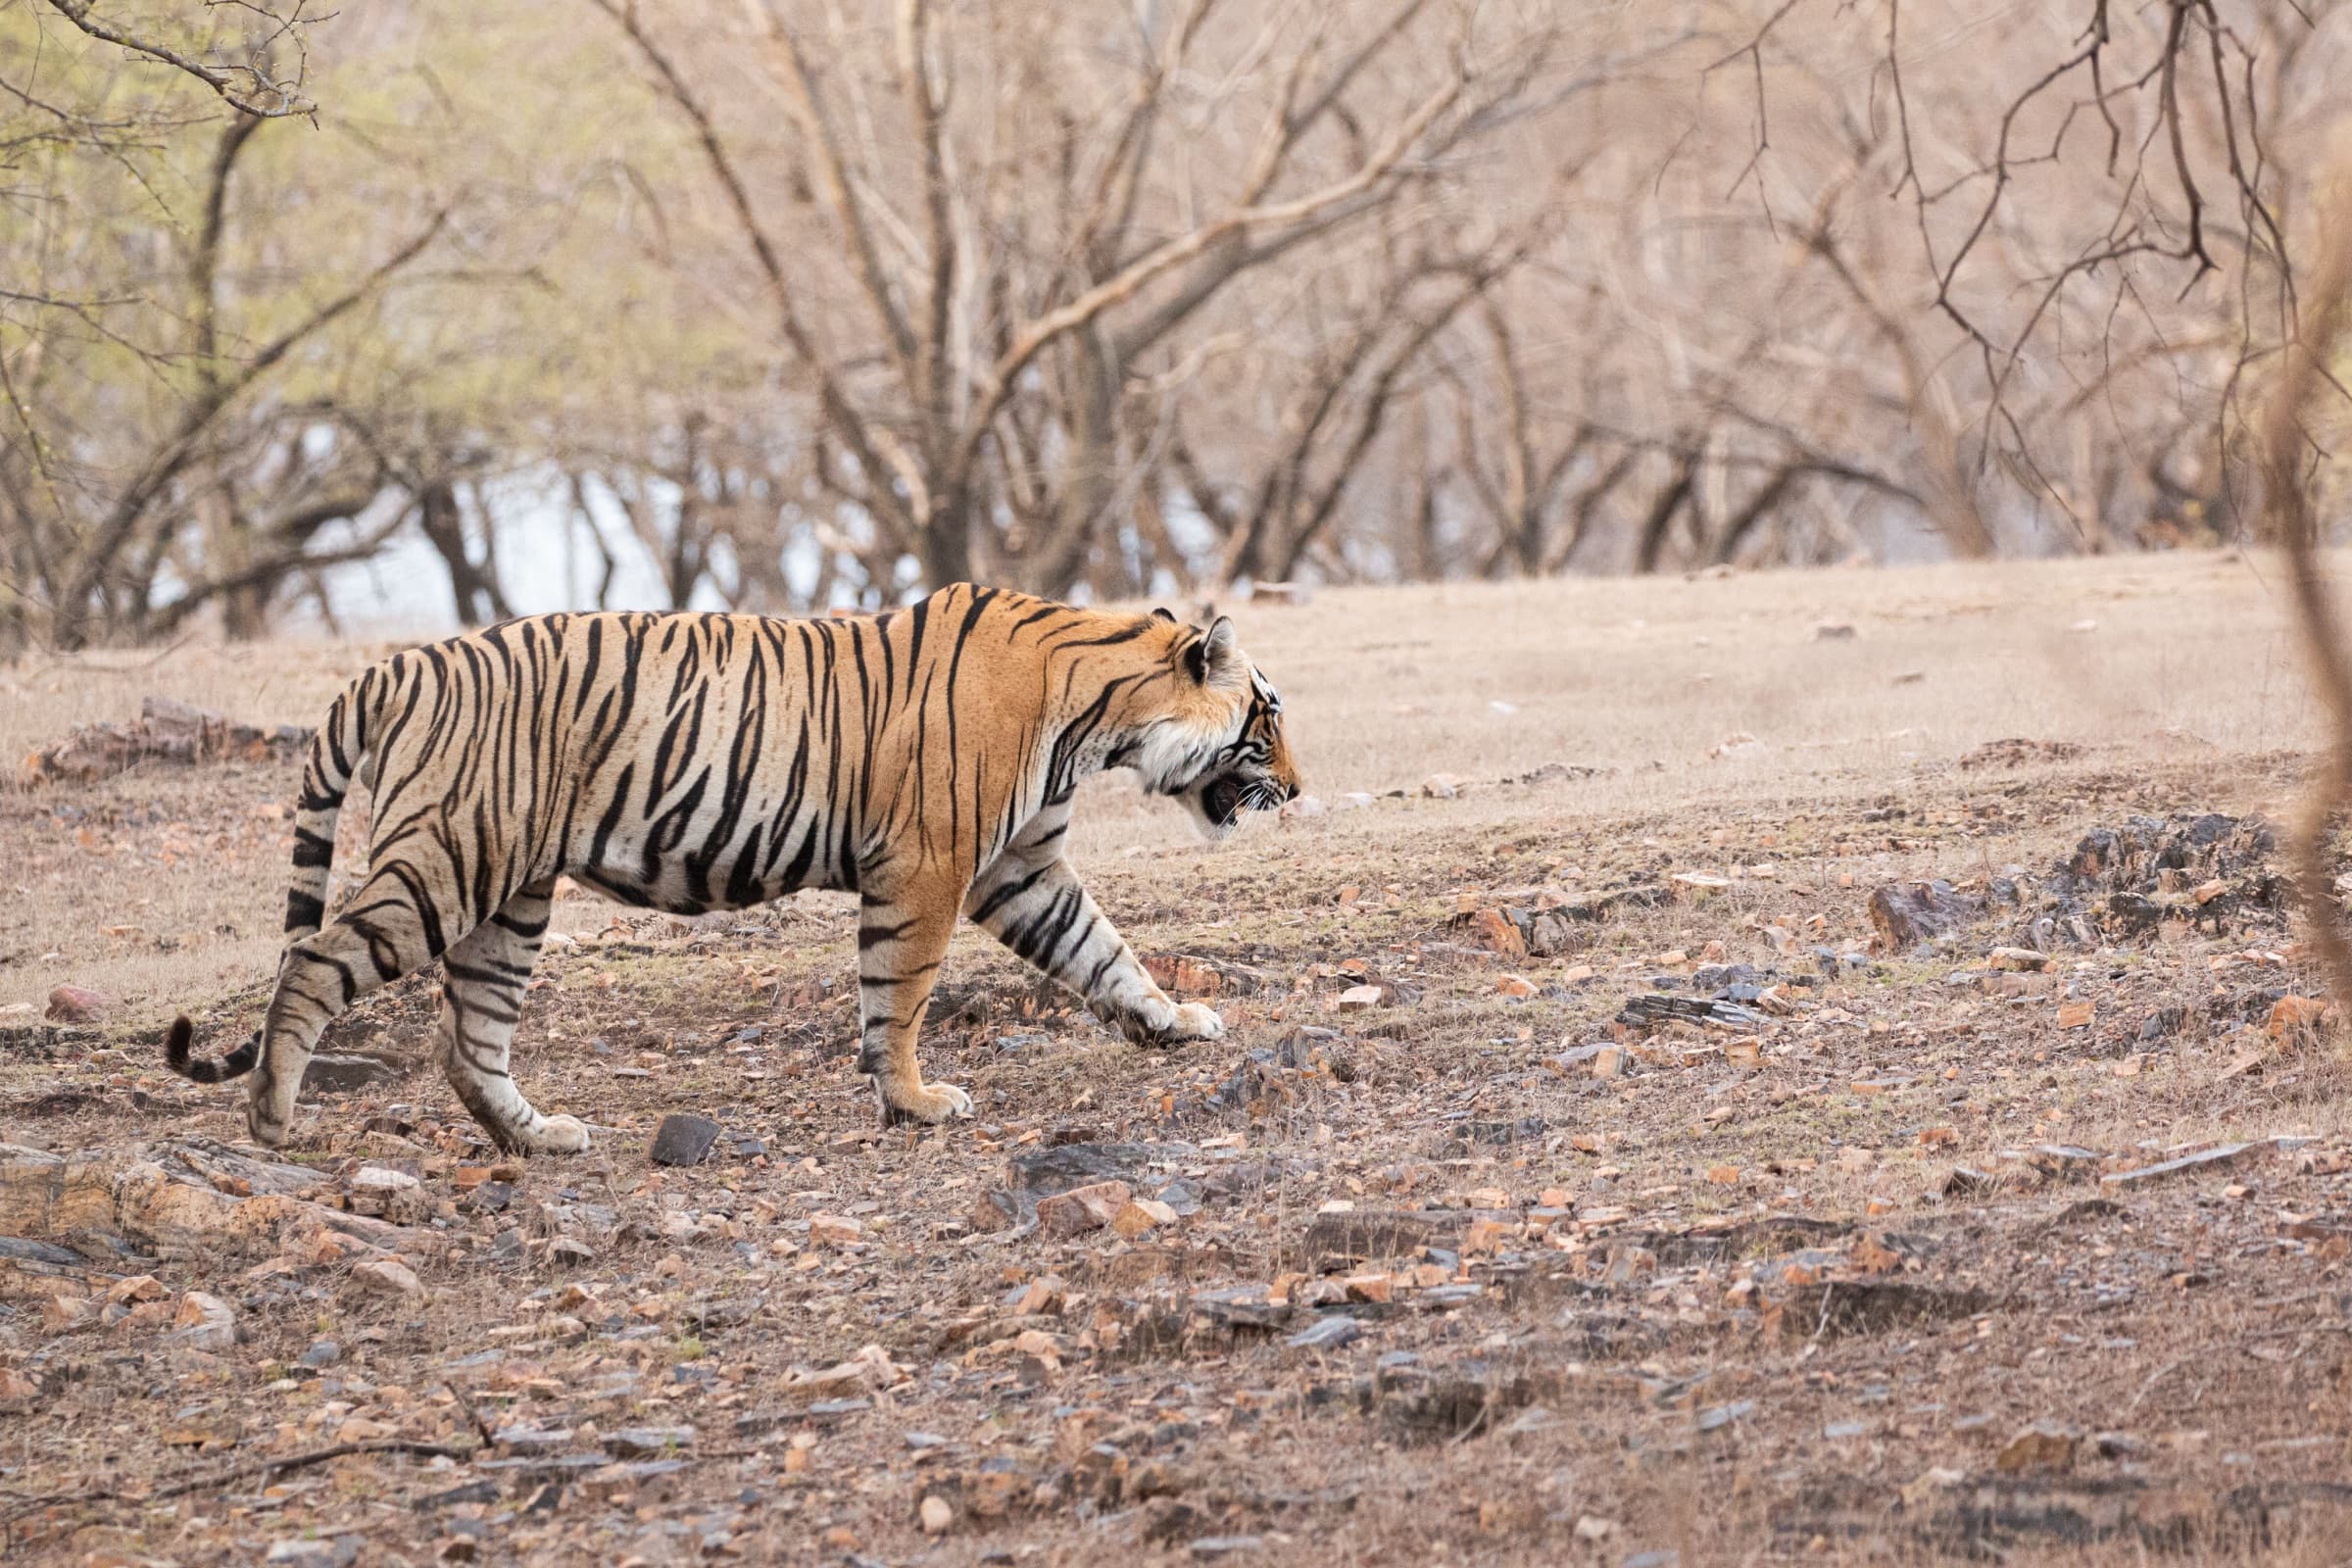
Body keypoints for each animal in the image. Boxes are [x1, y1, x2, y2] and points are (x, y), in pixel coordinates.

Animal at [163, 584, 1301, 1154]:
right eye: (1266, 719)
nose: (1295, 789)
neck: (1099, 716)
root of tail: (397, 663)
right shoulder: (930, 866)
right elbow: (898, 994)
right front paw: (915, 1102)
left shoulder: (1016, 867)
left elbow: (1103, 951)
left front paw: (1172, 1022)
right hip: (447, 862)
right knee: (312, 962)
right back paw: (272, 1122)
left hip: (511, 897)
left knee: (466, 1037)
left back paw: (540, 1138)